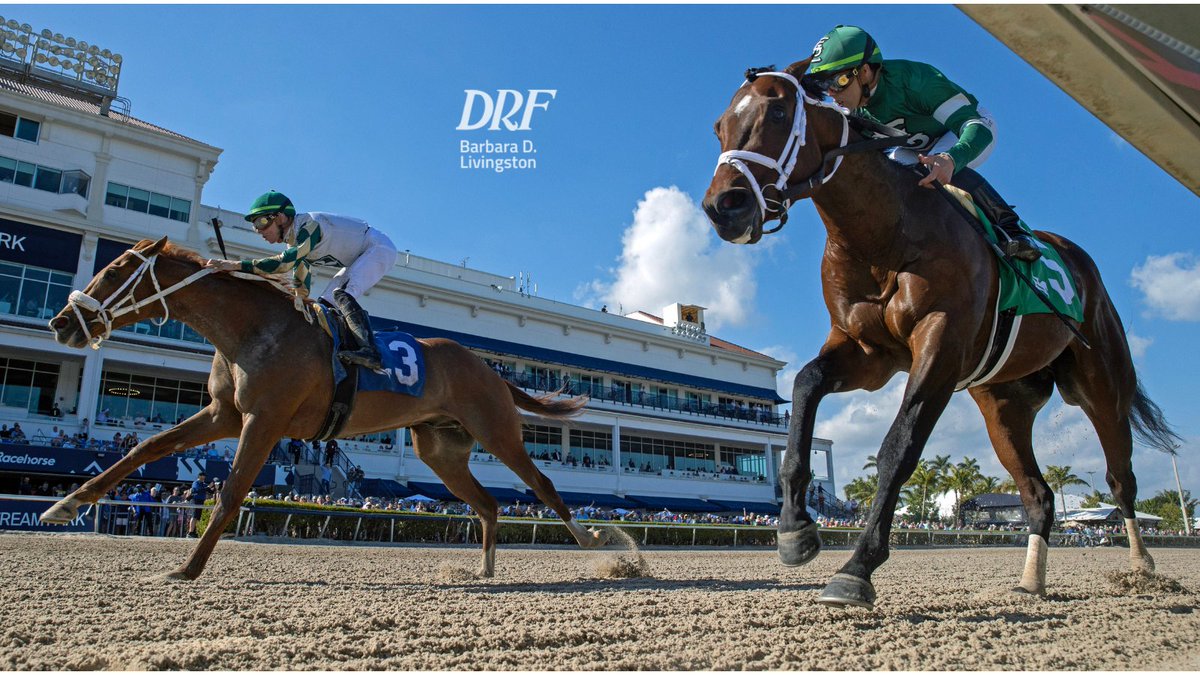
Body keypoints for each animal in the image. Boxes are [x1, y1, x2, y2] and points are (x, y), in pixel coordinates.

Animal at [38, 236, 609, 578]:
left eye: (115, 271)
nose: (61, 322)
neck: (253, 328)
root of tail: (491, 369)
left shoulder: (264, 420)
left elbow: (230, 494)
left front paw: (187, 569)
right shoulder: (225, 414)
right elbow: (147, 448)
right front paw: (64, 505)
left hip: (497, 431)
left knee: (543, 485)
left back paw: (596, 540)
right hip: (440, 452)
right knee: (489, 503)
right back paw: (485, 570)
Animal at [700, 60, 1180, 607]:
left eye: (778, 113)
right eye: (719, 126)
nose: (724, 206)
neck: (885, 232)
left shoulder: (940, 346)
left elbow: (899, 448)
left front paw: (857, 568)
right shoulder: (868, 352)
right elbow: (804, 386)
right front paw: (795, 530)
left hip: (1100, 383)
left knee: (1120, 478)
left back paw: (1143, 567)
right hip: (1003, 404)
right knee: (1038, 494)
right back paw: (1031, 582)